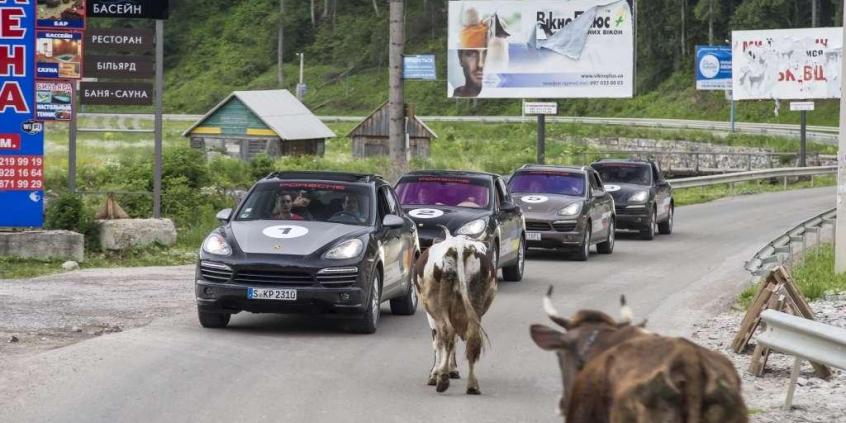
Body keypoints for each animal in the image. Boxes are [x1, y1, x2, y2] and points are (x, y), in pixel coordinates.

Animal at [416, 227, 496, 396]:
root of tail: (458, 246)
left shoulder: (431, 316)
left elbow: (438, 343)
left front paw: (436, 373)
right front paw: (452, 369)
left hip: (438, 308)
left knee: (446, 337)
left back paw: (442, 379)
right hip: (475, 306)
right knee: (471, 338)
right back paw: (472, 385)